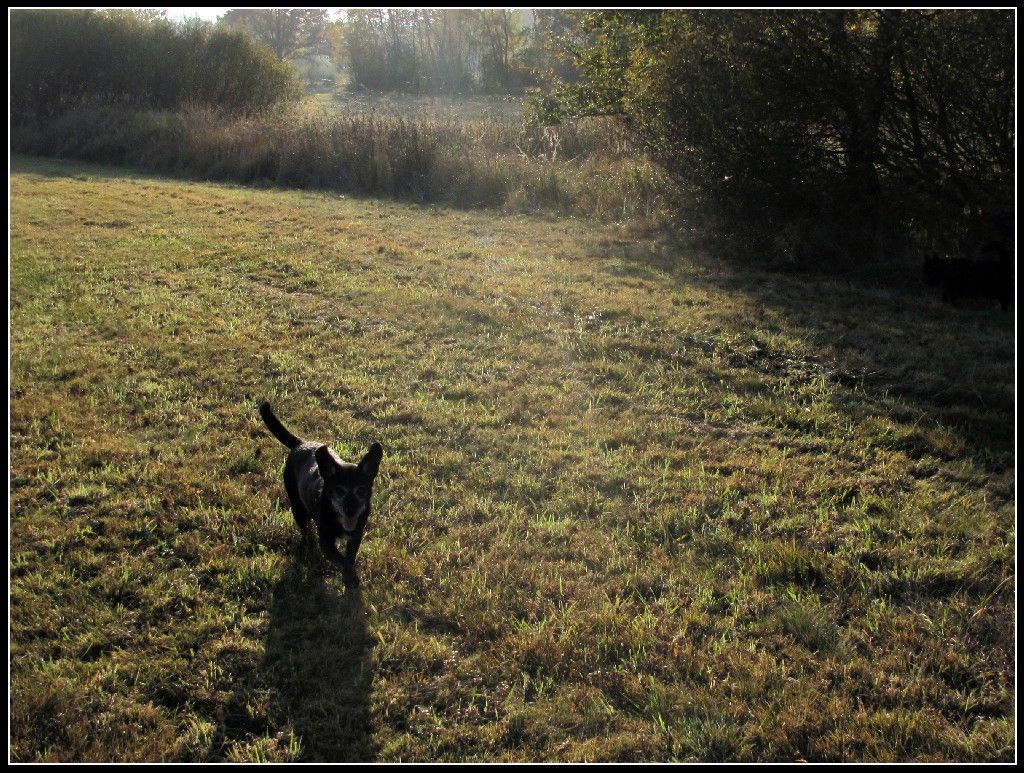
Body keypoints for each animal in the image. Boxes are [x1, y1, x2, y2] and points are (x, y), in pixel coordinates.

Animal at [258, 401, 382, 589]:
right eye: (339, 490)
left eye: (361, 490)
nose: (350, 511)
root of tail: (301, 444)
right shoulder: (325, 541)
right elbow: (341, 560)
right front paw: (350, 577)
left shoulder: (356, 536)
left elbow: (349, 559)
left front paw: (349, 577)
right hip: (298, 508)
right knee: (305, 530)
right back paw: (309, 547)